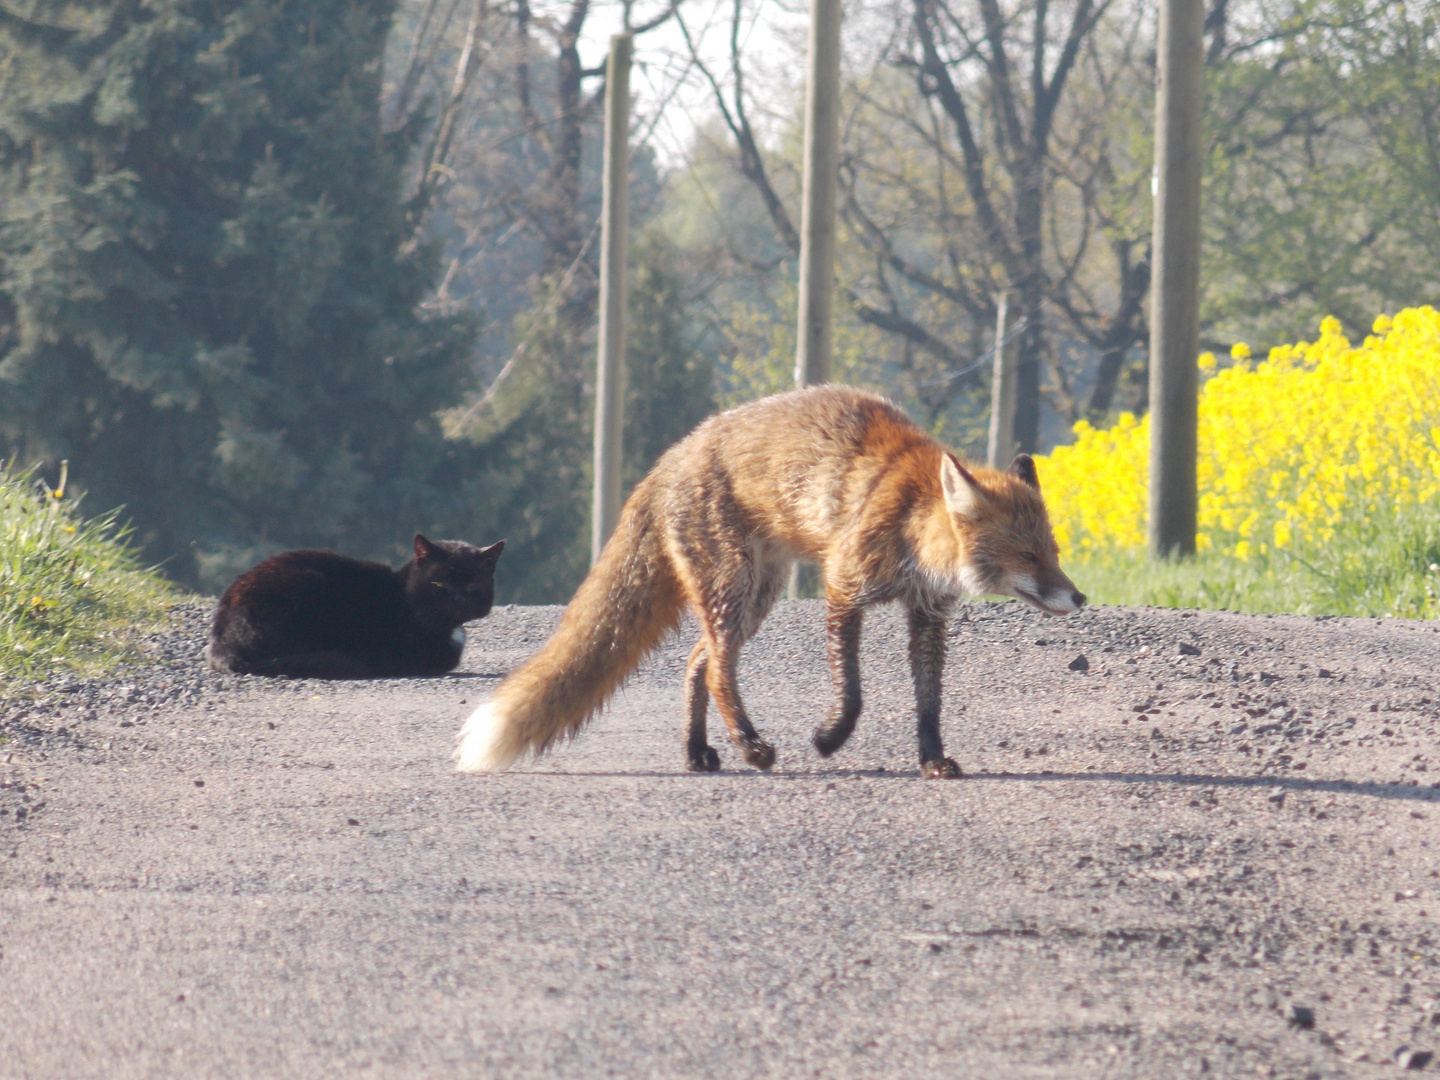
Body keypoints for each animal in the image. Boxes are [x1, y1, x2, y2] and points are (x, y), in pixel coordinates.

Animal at [455, 385, 1082, 777]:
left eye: (1054, 553)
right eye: (1028, 556)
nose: (1078, 596)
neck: (912, 523)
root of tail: (669, 457)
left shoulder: (926, 614)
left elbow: (929, 704)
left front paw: (932, 761)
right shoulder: (843, 587)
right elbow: (852, 692)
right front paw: (830, 738)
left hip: (755, 596)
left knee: (698, 661)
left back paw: (698, 750)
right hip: (734, 587)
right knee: (718, 671)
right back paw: (751, 747)